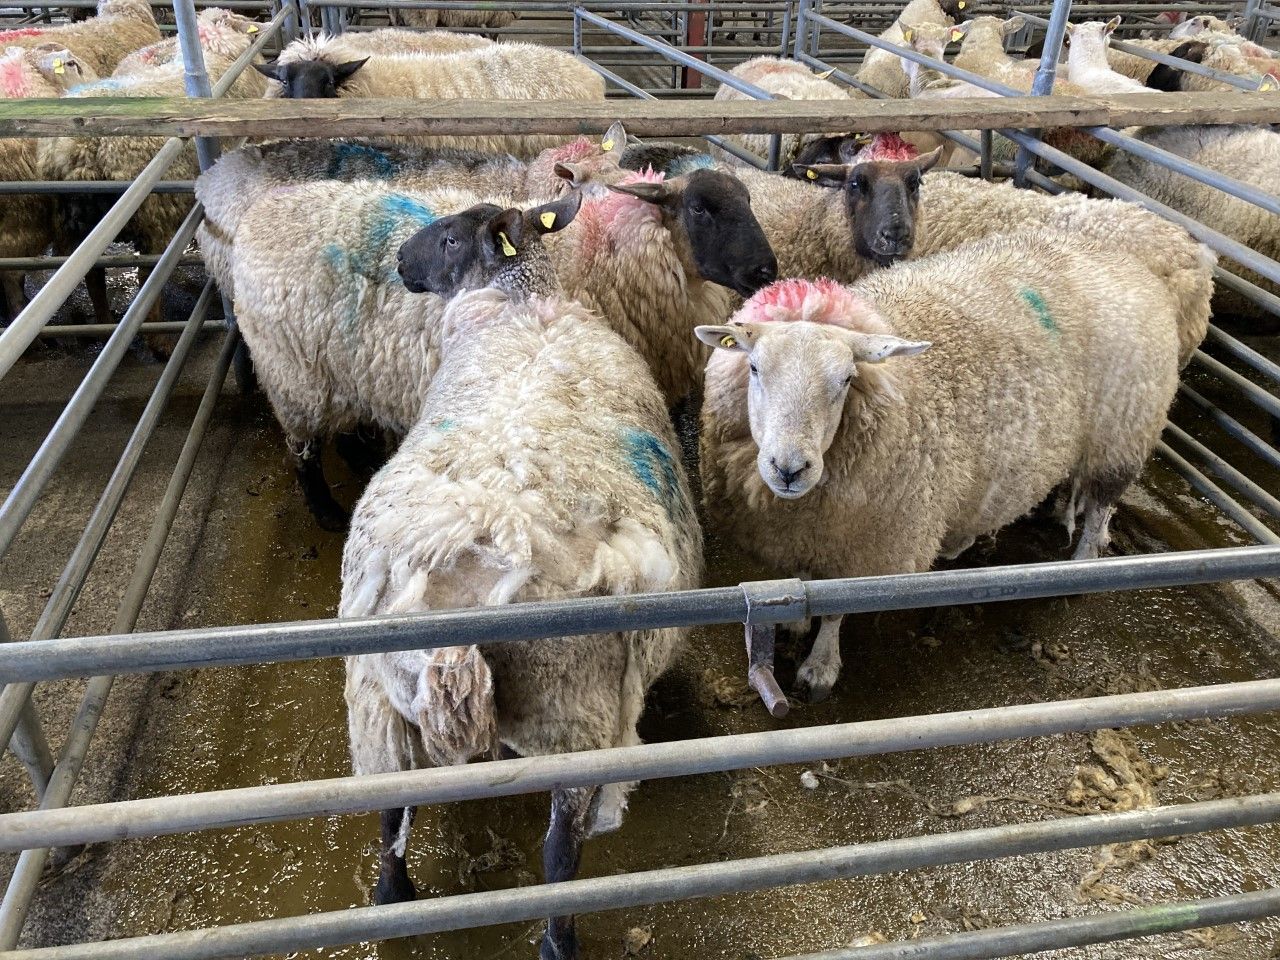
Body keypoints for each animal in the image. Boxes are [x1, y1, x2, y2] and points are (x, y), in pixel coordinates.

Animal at [231, 148, 775, 527]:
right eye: (702, 210)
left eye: (748, 202)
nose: (767, 271)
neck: (610, 249)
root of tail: (256, 218)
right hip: (294, 376)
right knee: (303, 451)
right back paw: (326, 513)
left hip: (343, 369)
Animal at [341, 194, 701, 960]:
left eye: (450, 237)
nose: (400, 261)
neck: (523, 302)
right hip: (509, 711)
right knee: (532, 845)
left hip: (434, 703)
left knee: (436, 824)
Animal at [697, 228, 1186, 701]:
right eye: (754, 368)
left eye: (847, 379)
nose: (789, 469)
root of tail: (1125, 259)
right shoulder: (805, 533)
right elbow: (803, 579)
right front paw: (797, 619)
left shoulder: (868, 548)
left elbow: (835, 611)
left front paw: (820, 667)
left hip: (1122, 432)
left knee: (1101, 505)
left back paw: (1083, 566)